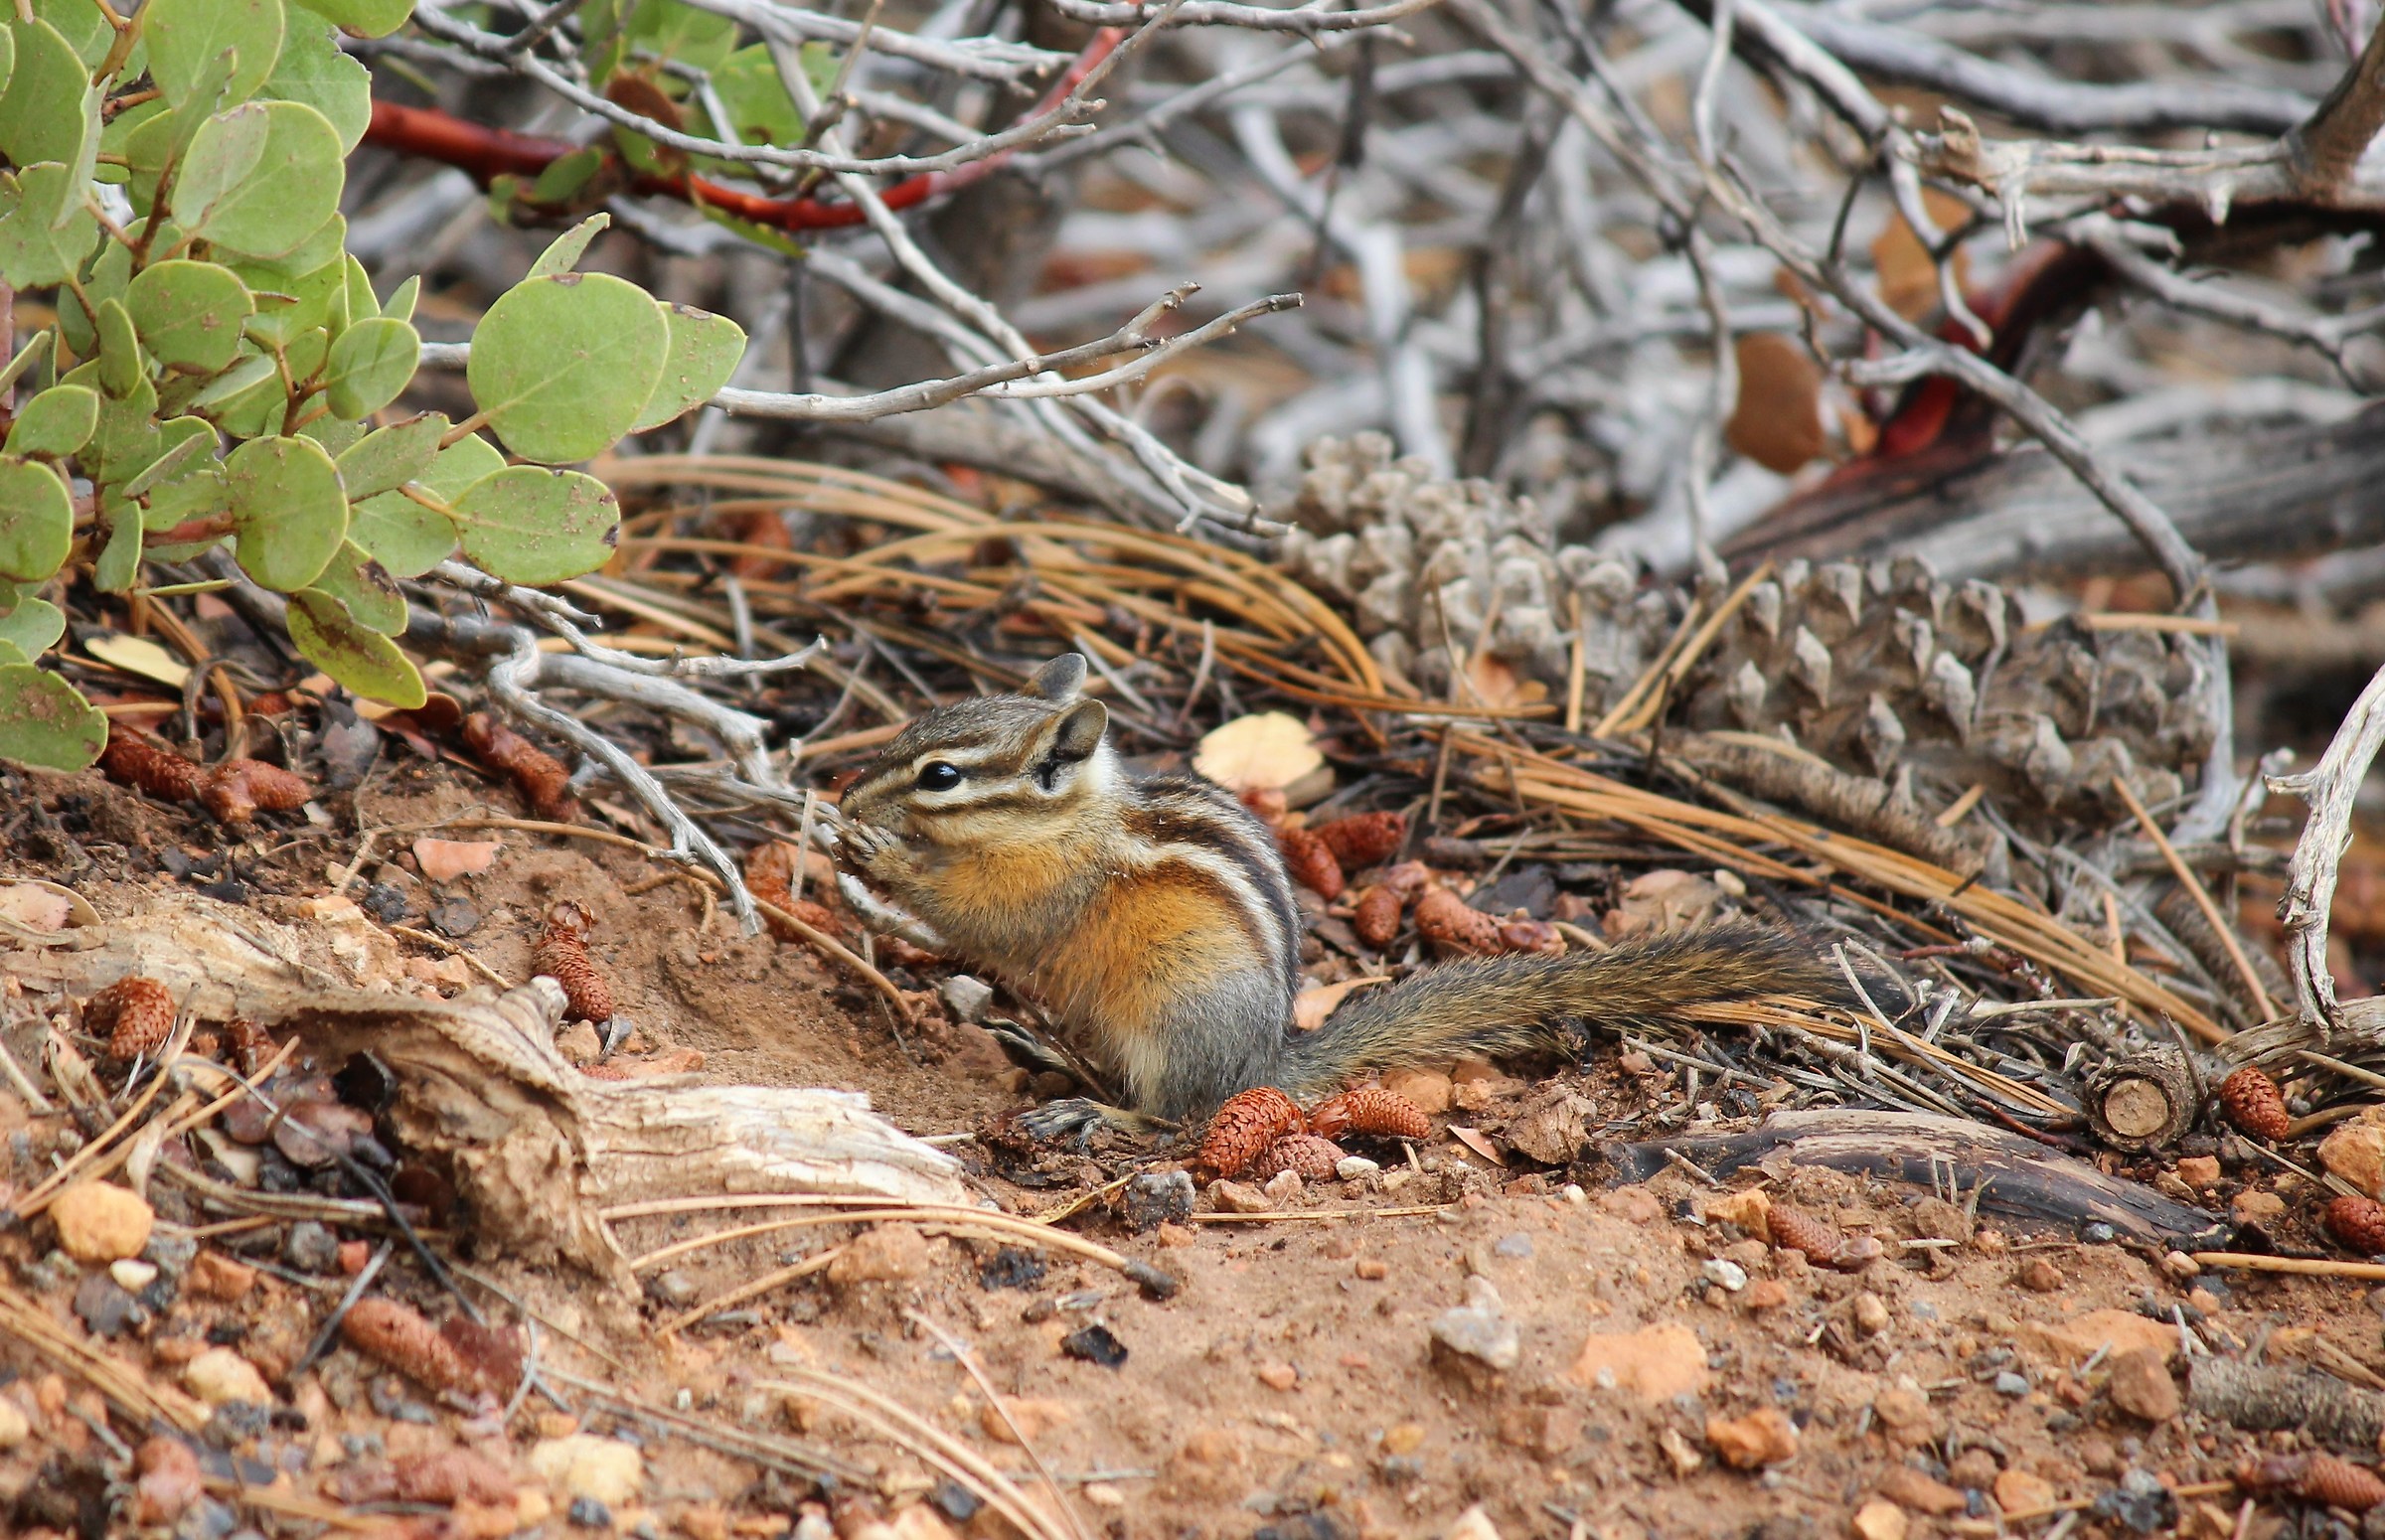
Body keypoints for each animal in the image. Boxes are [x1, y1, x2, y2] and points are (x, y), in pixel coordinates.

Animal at [832, 653, 1841, 1133]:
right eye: (920, 724)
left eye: (940, 776)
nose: (845, 794)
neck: (1067, 819)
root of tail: (1264, 1066)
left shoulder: (1048, 891)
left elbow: (983, 920)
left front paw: (876, 859)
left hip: (1176, 1022)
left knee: (1173, 1117)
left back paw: (1094, 1108)